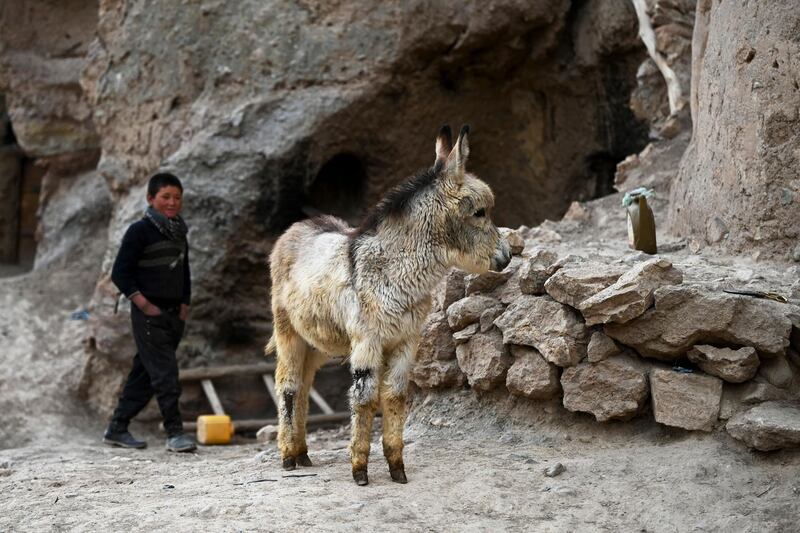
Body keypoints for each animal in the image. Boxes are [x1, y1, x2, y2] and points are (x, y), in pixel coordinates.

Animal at [266, 125, 510, 486]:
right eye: (480, 212)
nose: (506, 257)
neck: (396, 272)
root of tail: (297, 227)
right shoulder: (368, 341)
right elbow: (365, 398)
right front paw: (359, 470)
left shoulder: (406, 340)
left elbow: (395, 396)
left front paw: (397, 467)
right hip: (288, 332)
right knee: (288, 386)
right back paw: (287, 457)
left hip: (318, 341)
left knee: (306, 385)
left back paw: (303, 452)